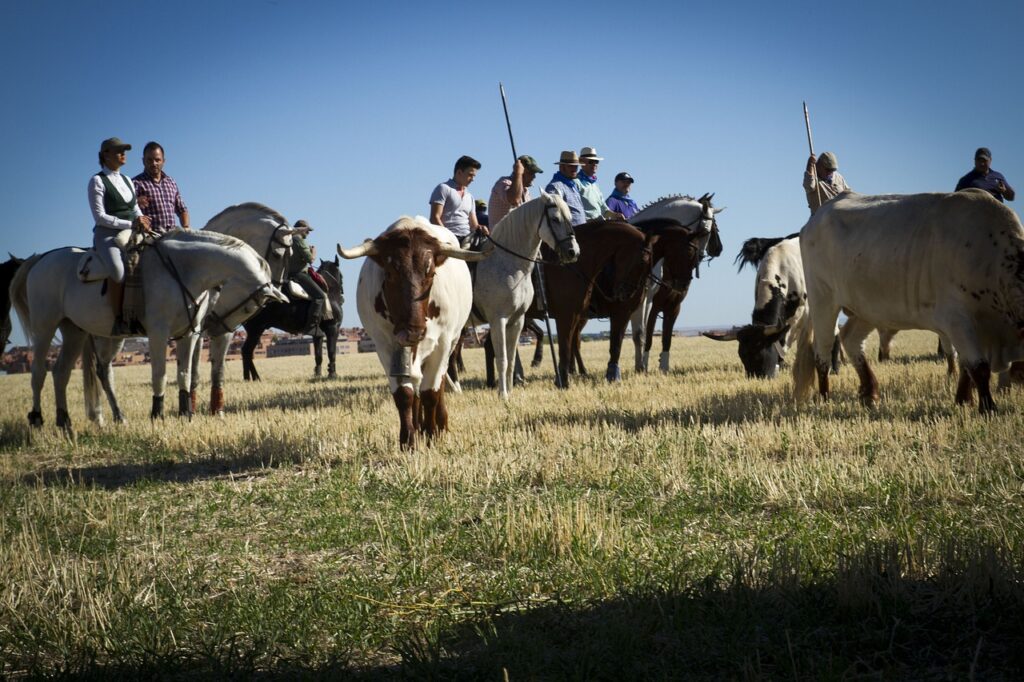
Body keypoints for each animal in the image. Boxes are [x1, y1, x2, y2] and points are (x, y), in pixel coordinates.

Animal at [9, 228, 286, 430]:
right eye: (251, 306)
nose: (217, 329)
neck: (183, 270)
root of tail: (41, 258)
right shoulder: (158, 332)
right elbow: (160, 374)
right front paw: (157, 414)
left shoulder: (188, 334)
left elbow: (184, 374)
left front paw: (186, 414)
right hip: (45, 326)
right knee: (39, 372)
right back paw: (37, 419)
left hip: (77, 331)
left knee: (66, 372)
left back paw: (69, 420)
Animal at [337, 216, 489, 446]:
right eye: (390, 273)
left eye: (432, 273)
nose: (413, 332)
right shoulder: (385, 346)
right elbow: (405, 394)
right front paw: (409, 439)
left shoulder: (443, 344)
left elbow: (431, 392)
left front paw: (433, 434)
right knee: (416, 385)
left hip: (451, 343)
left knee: (439, 382)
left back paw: (439, 424)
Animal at [468, 191, 577, 395]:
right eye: (555, 219)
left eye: (570, 217)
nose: (573, 251)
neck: (507, 263)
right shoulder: (498, 320)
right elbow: (502, 358)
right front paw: (503, 394)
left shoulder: (517, 321)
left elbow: (511, 359)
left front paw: (510, 391)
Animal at [626, 191, 724, 372]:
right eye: (706, 230)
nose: (718, 249)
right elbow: (641, 333)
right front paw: (642, 367)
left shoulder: (651, 299)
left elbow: (646, 332)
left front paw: (643, 366)